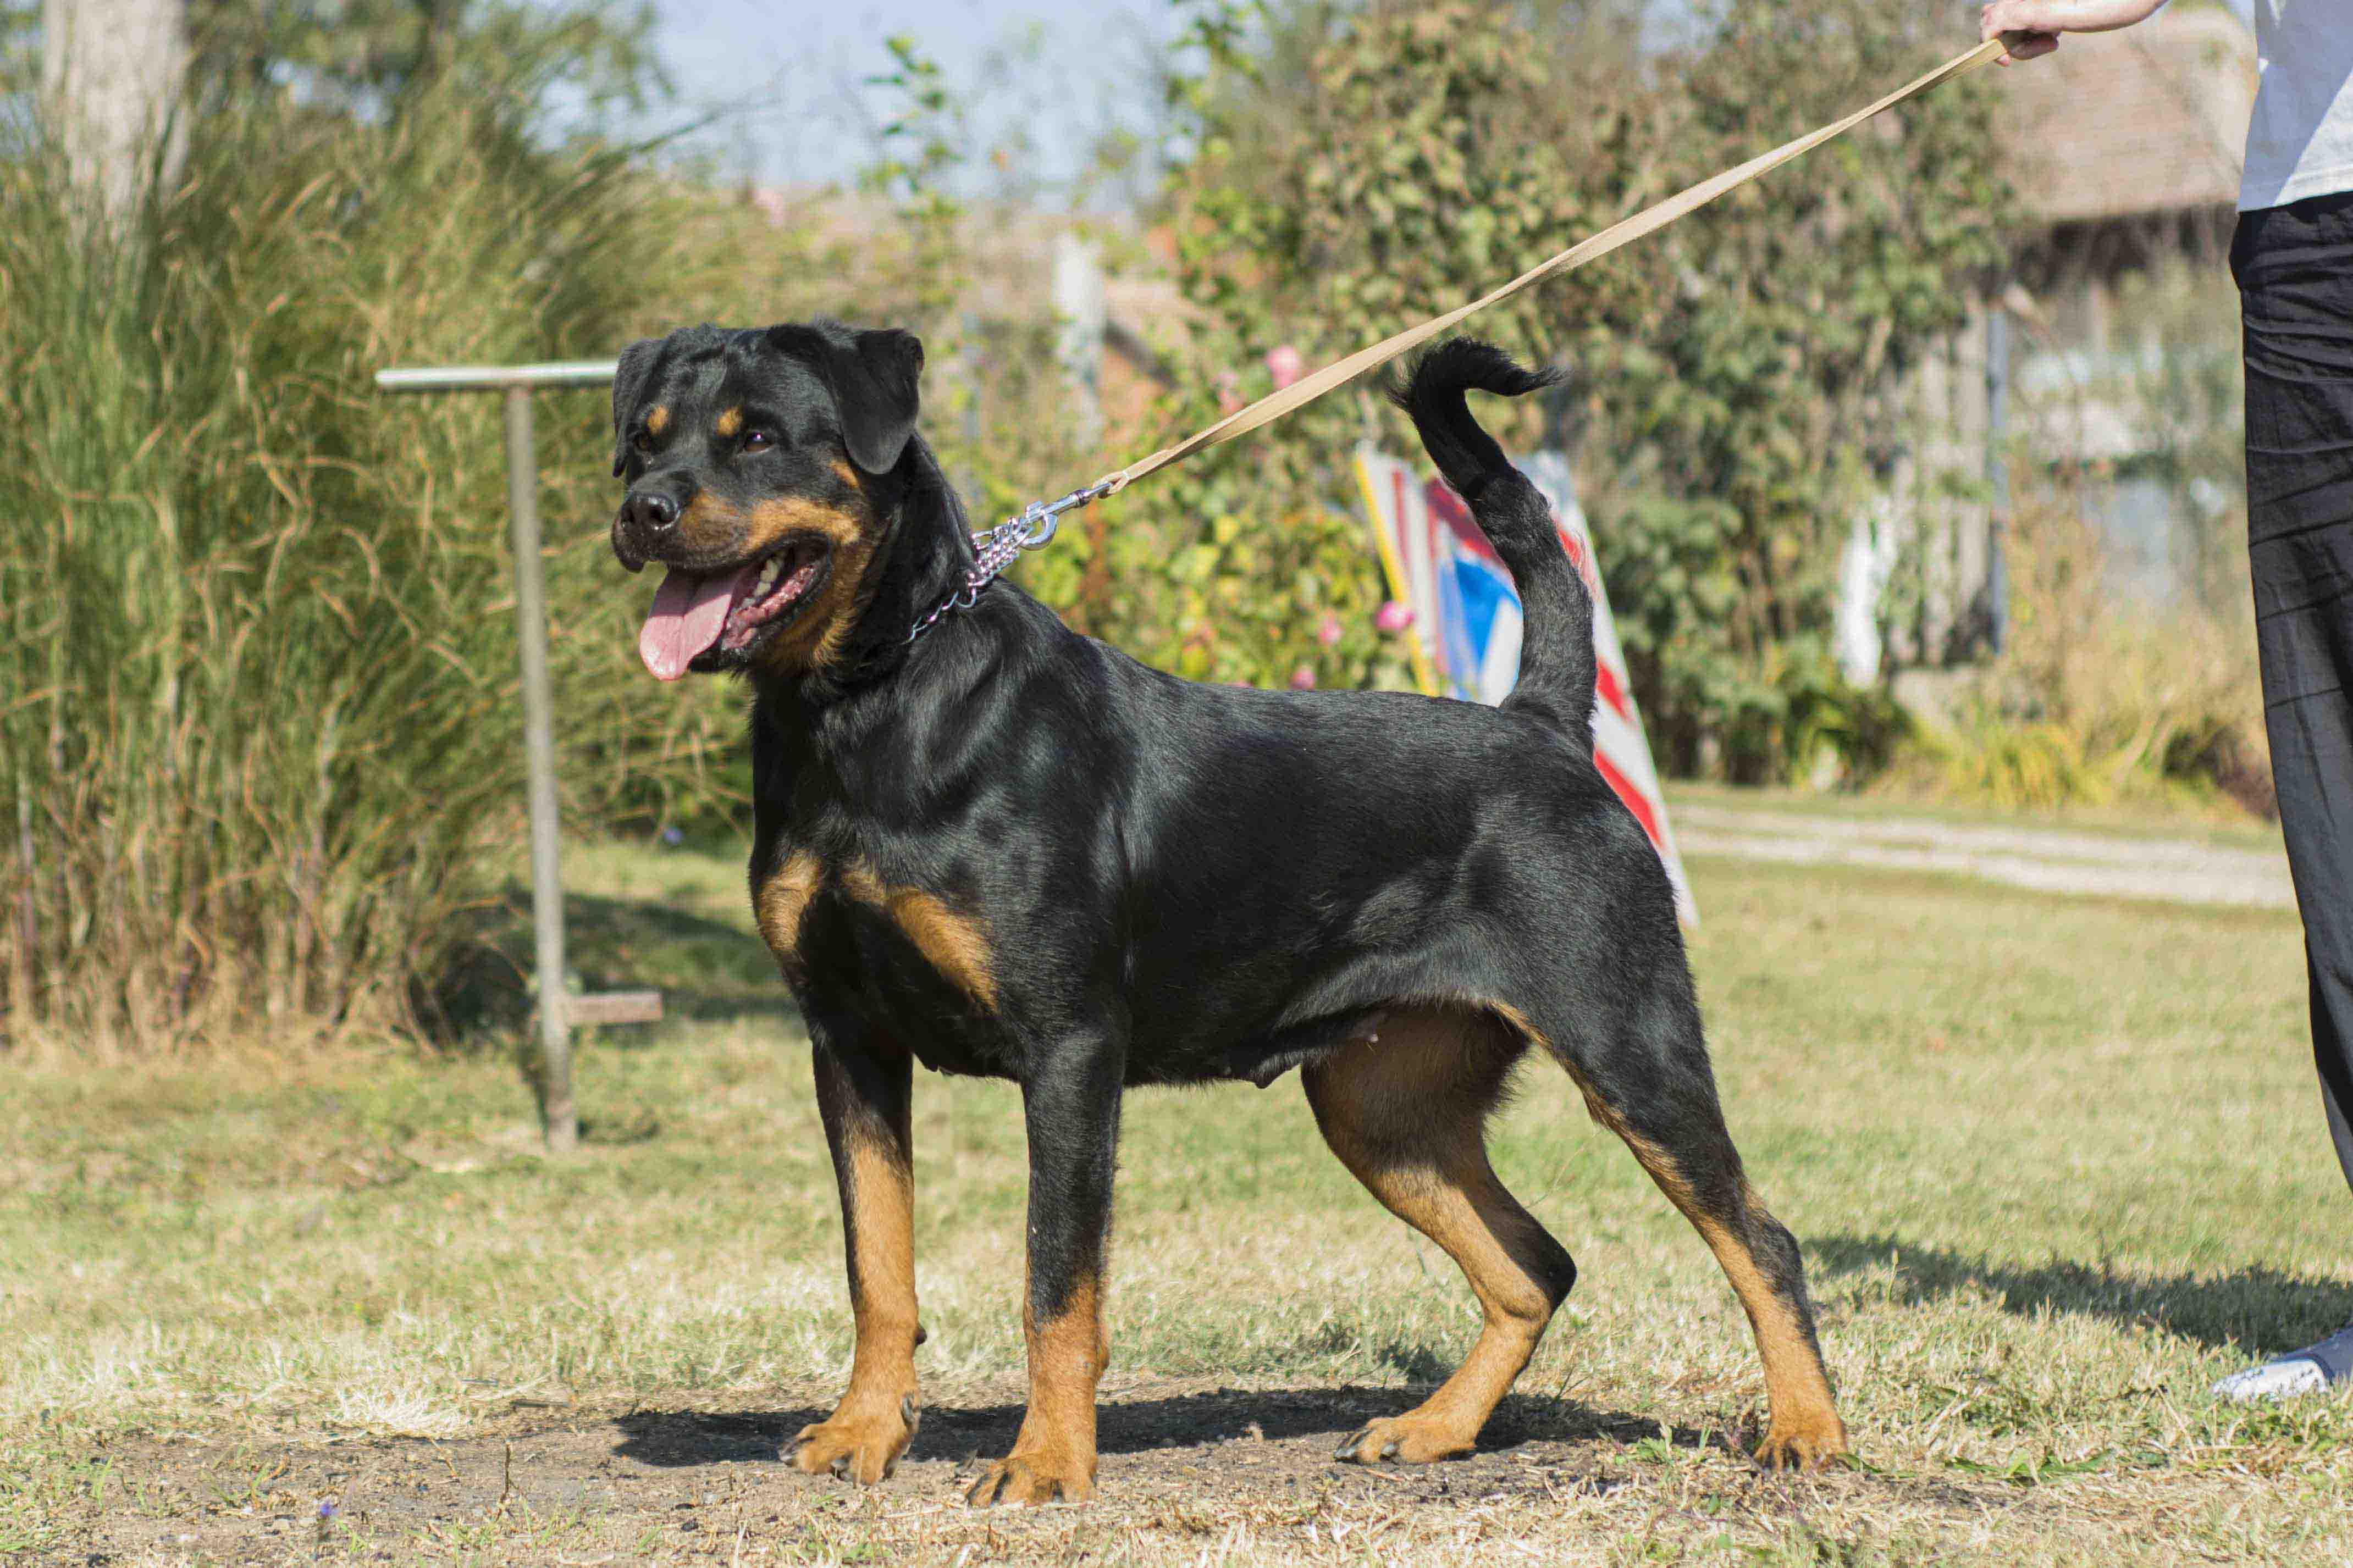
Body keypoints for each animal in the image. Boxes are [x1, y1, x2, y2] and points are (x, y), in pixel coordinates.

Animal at [611, 319, 1854, 1504]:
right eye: (644, 438)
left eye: (758, 437)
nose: (641, 509)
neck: (871, 702)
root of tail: (1542, 722)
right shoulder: (850, 1042)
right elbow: (878, 1264)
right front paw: (866, 1431)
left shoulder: (1069, 1048)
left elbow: (1055, 1281)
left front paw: (1047, 1462)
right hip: (1379, 1106)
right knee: (1534, 1264)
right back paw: (1434, 1428)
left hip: (1628, 1047)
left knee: (1763, 1240)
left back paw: (1807, 1432)